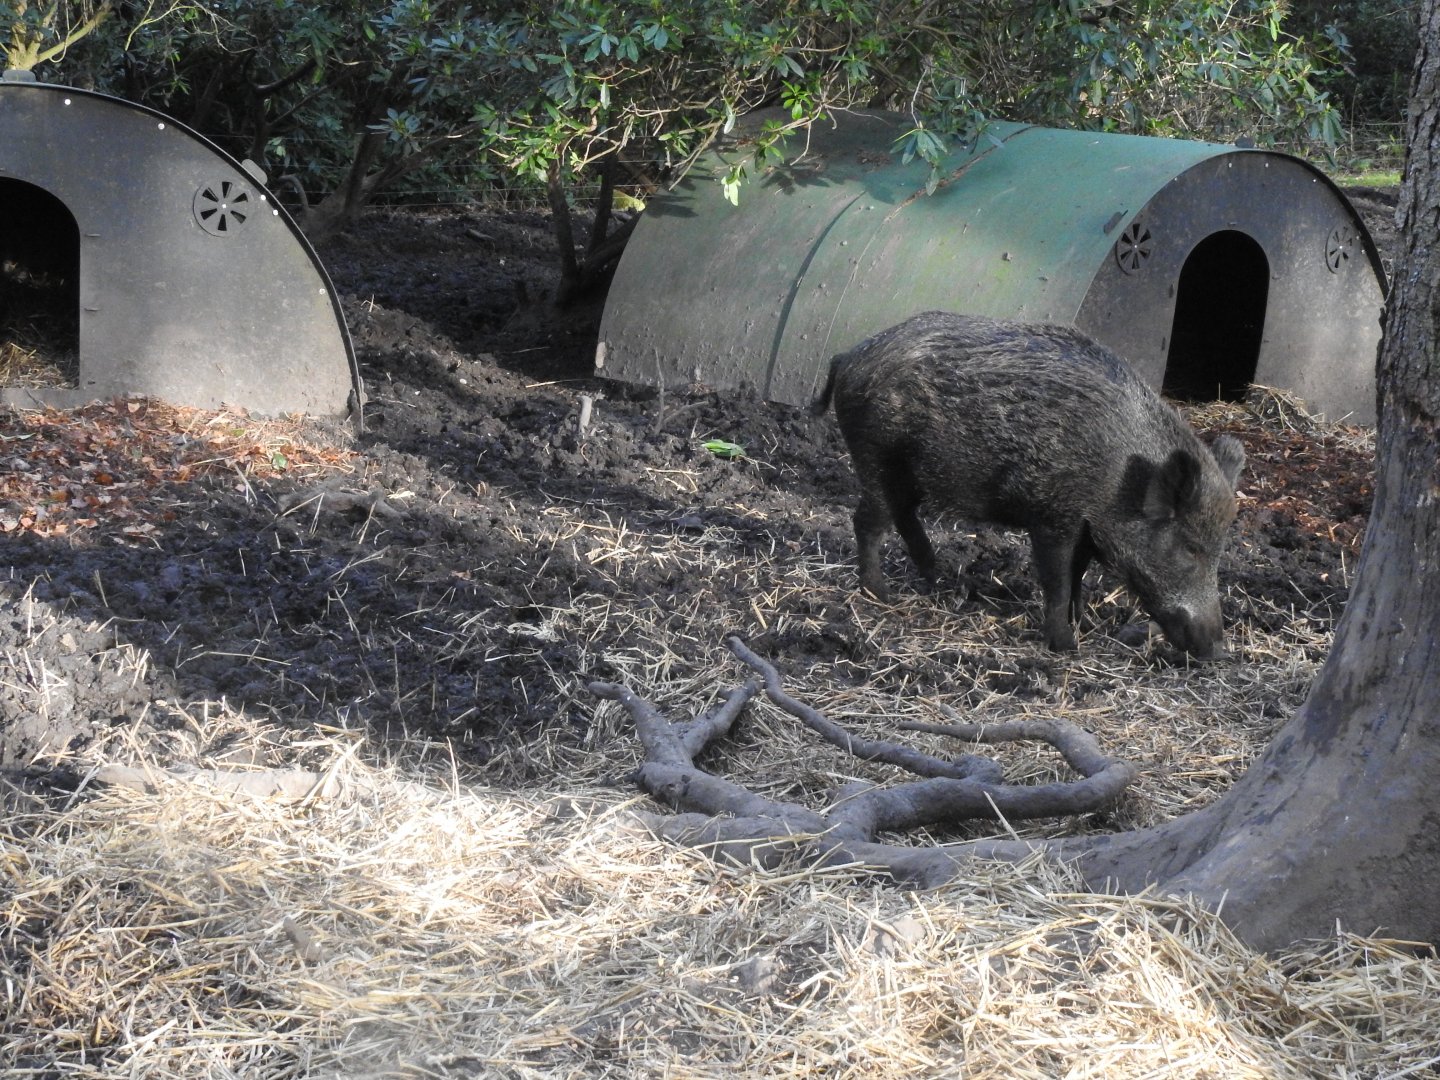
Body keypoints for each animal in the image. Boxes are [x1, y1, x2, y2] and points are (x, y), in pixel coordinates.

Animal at [812, 311, 1246, 656]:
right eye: (1190, 548)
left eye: (1220, 551)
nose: (1219, 651)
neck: (1118, 479)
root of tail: (847, 356)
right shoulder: (1053, 517)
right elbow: (1057, 580)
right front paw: (1066, 646)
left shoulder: (1084, 528)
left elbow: (1078, 577)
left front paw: (1085, 626)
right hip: (876, 457)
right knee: (868, 521)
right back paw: (880, 595)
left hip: (909, 473)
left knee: (903, 516)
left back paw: (942, 580)